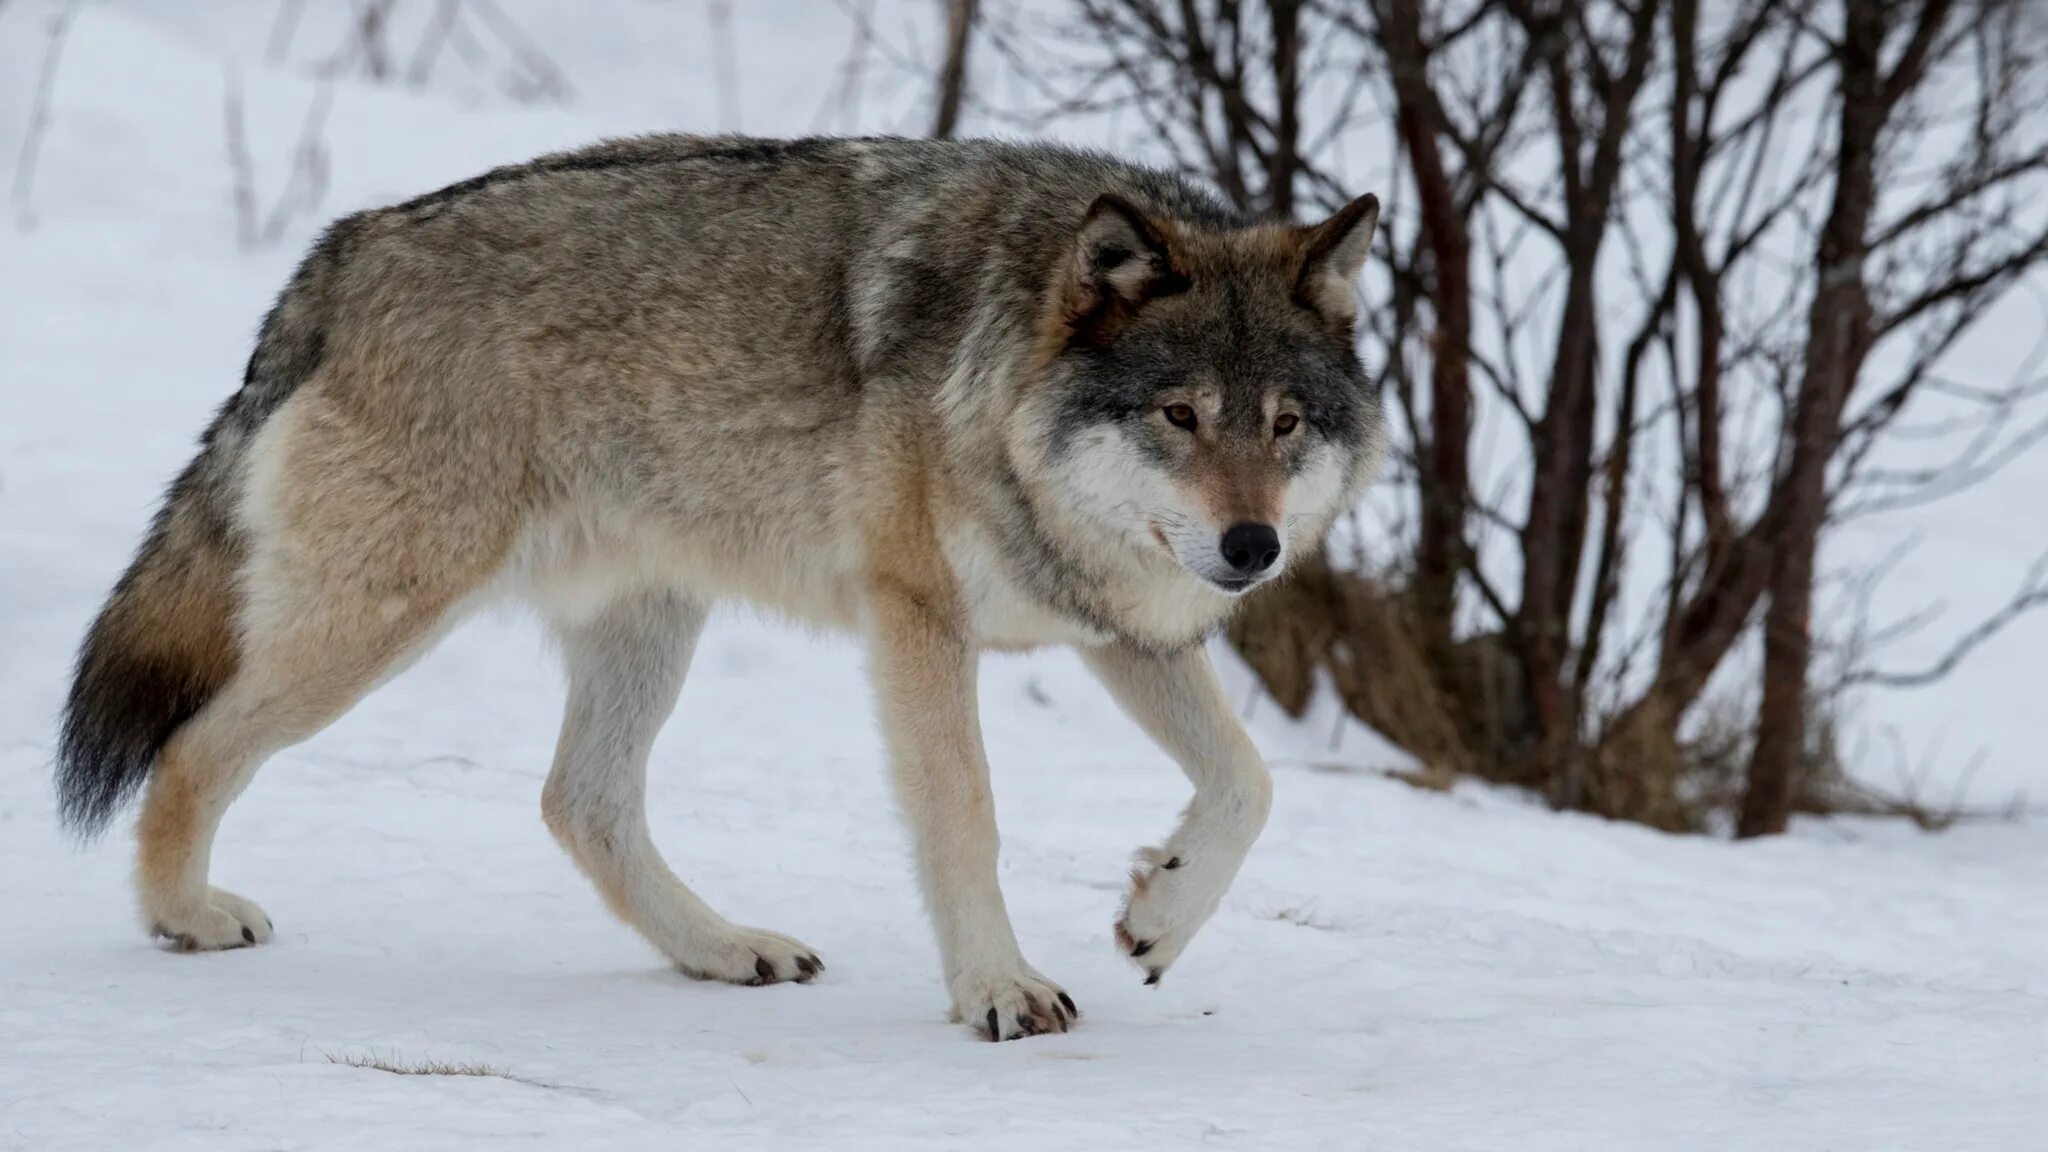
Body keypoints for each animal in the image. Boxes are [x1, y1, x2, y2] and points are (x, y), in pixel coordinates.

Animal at [56, 130, 1384, 1037]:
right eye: (1178, 415)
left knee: (578, 803)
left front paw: (1160, 912)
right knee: (194, 748)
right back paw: (184, 917)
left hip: (646, 624)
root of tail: (345, 249)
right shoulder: (918, 622)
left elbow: (1249, 784)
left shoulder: (1122, 631)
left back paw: (721, 948)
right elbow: (966, 816)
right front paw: (998, 990)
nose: (1252, 550)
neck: (1000, 381)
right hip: (383, 622)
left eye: (1282, 423)